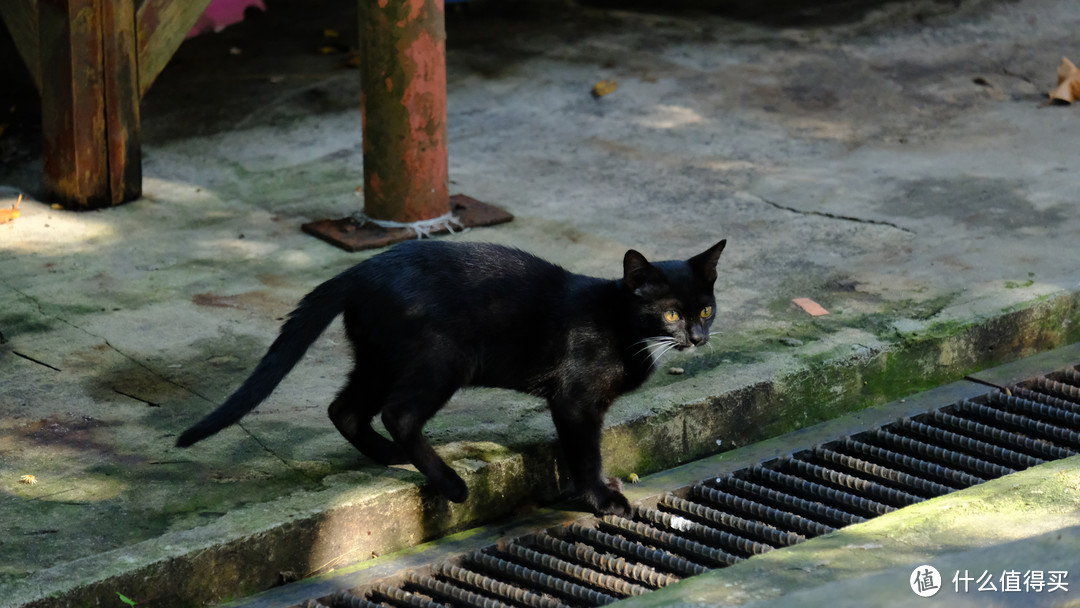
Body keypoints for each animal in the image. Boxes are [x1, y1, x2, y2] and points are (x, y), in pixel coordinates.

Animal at [179, 237, 725, 514]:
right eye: (670, 314)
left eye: (706, 309)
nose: (698, 338)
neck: (620, 324)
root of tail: (357, 271)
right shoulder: (575, 400)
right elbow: (585, 452)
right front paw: (601, 498)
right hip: (441, 358)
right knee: (397, 413)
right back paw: (449, 484)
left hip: (379, 358)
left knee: (345, 408)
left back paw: (392, 457)